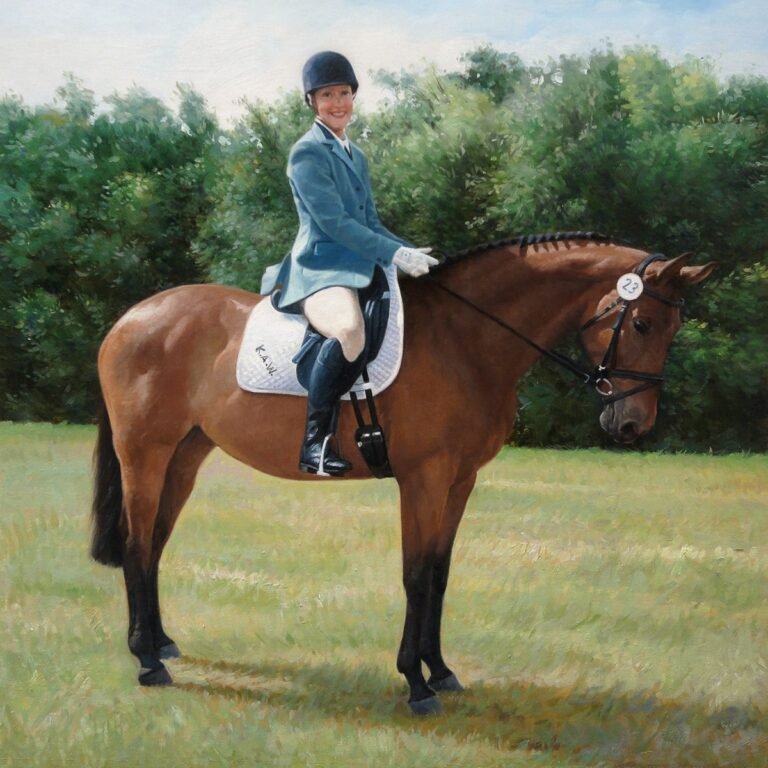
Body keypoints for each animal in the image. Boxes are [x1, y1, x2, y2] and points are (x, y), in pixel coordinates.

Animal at [90, 233, 715, 715]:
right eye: (641, 322)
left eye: (672, 327)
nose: (632, 424)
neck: (465, 339)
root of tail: (129, 318)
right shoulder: (425, 478)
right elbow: (415, 575)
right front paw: (416, 685)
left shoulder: (460, 481)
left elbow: (439, 573)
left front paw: (441, 671)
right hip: (145, 454)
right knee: (139, 545)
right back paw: (147, 662)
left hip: (185, 456)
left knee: (154, 544)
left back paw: (159, 644)